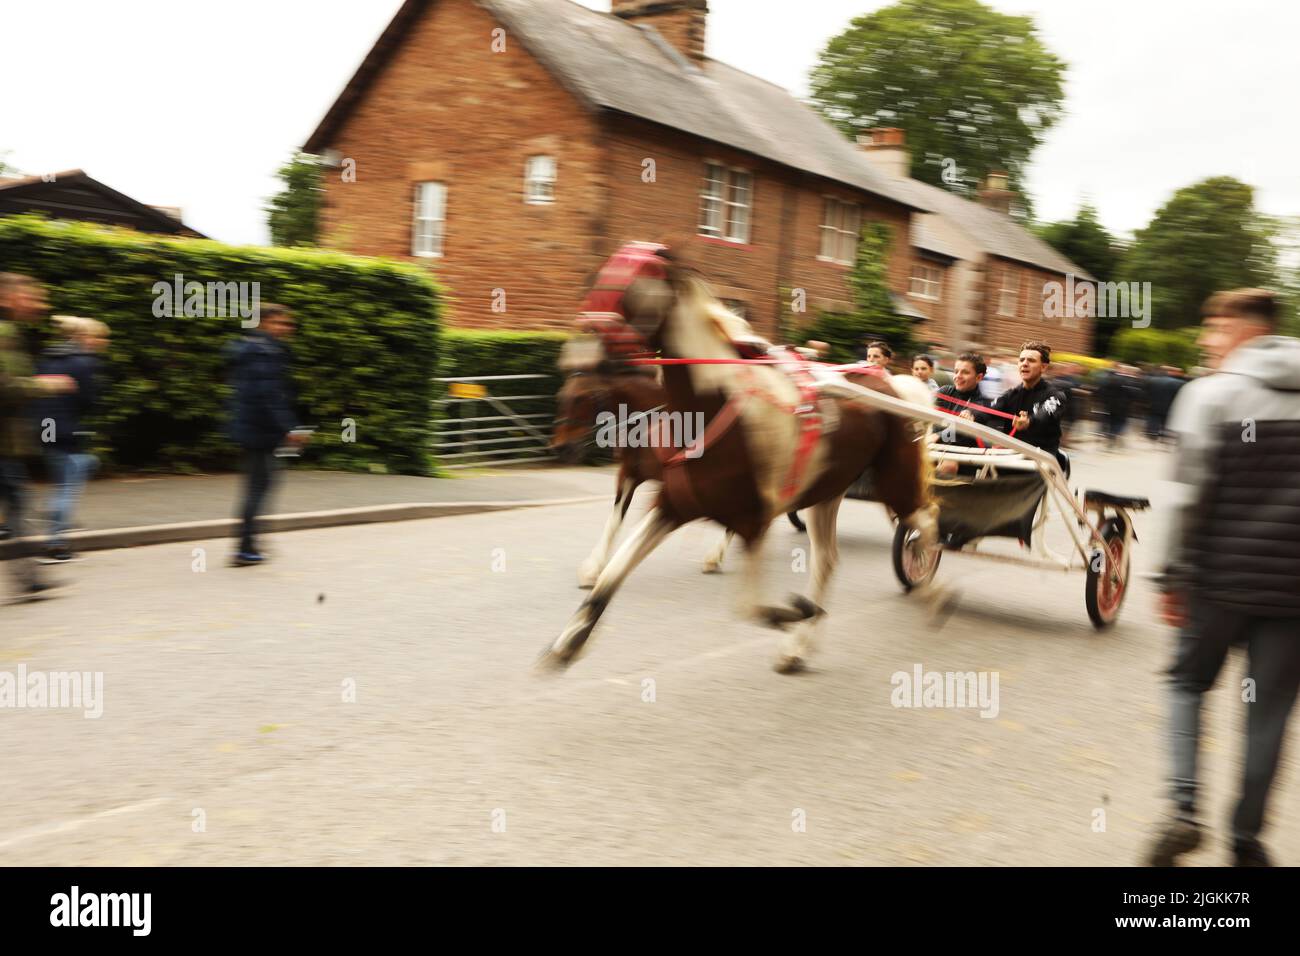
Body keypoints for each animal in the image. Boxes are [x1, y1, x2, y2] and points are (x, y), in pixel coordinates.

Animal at [538, 251, 935, 676]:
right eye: (564, 393)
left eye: (632, 282)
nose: (560, 448)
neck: (706, 409)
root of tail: (889, 384)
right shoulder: (666, 499)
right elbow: (612, 564)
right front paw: (571, 635)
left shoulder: (752, 518)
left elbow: (749, 605)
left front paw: (792, 610)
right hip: (827, 492)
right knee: (828, 560)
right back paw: (798, 647)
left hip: (896, 481)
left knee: (926, 521)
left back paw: (931, 586)